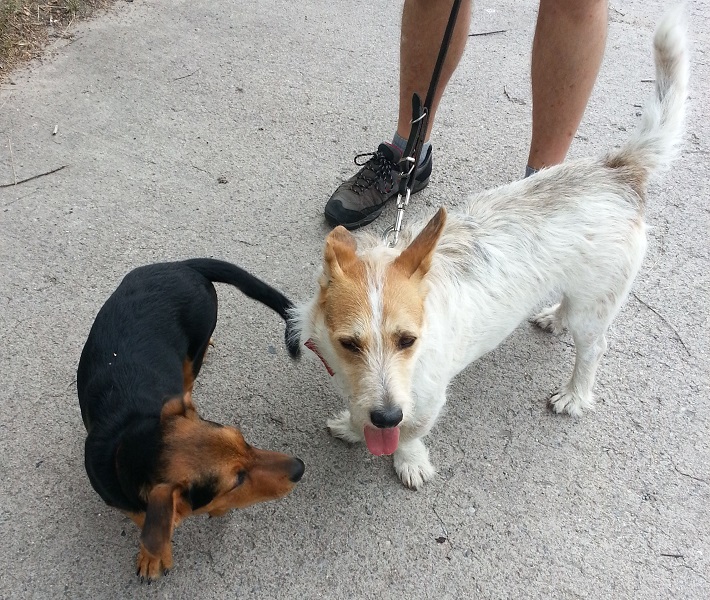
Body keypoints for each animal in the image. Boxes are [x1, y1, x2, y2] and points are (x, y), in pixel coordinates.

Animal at [78, 258, 305, 581]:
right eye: (236, 480)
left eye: (244, 440)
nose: (300, 467)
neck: (128, 441)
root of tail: (181, 264)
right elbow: (147, 520)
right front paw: (155, 552)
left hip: (198, 338)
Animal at [290, 10, 688, 490]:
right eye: (349, 344)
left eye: (407, 340)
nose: (386, 416)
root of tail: (617, 170)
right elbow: (358, 408)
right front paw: (353, 427)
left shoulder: (425, 400)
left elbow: (411, 432)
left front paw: (408, 460)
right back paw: (553, 318)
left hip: (594, 309)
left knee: (594, 350)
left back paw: (575, 395)